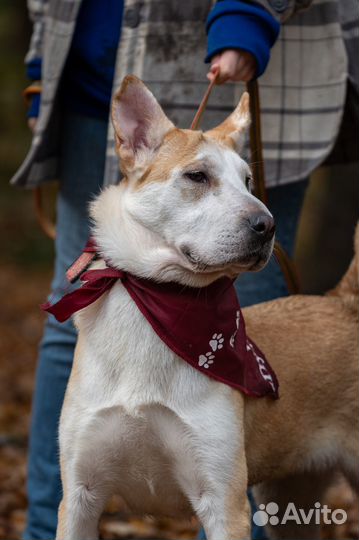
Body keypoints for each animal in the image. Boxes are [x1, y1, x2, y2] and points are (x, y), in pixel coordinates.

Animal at [54, 76, 358, 540]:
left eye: (249, 181)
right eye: (197, 176)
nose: (266, 225)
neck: (161, 302)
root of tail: (344, 303)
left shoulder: (223, 501)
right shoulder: (80, 495)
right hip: (289, 500)